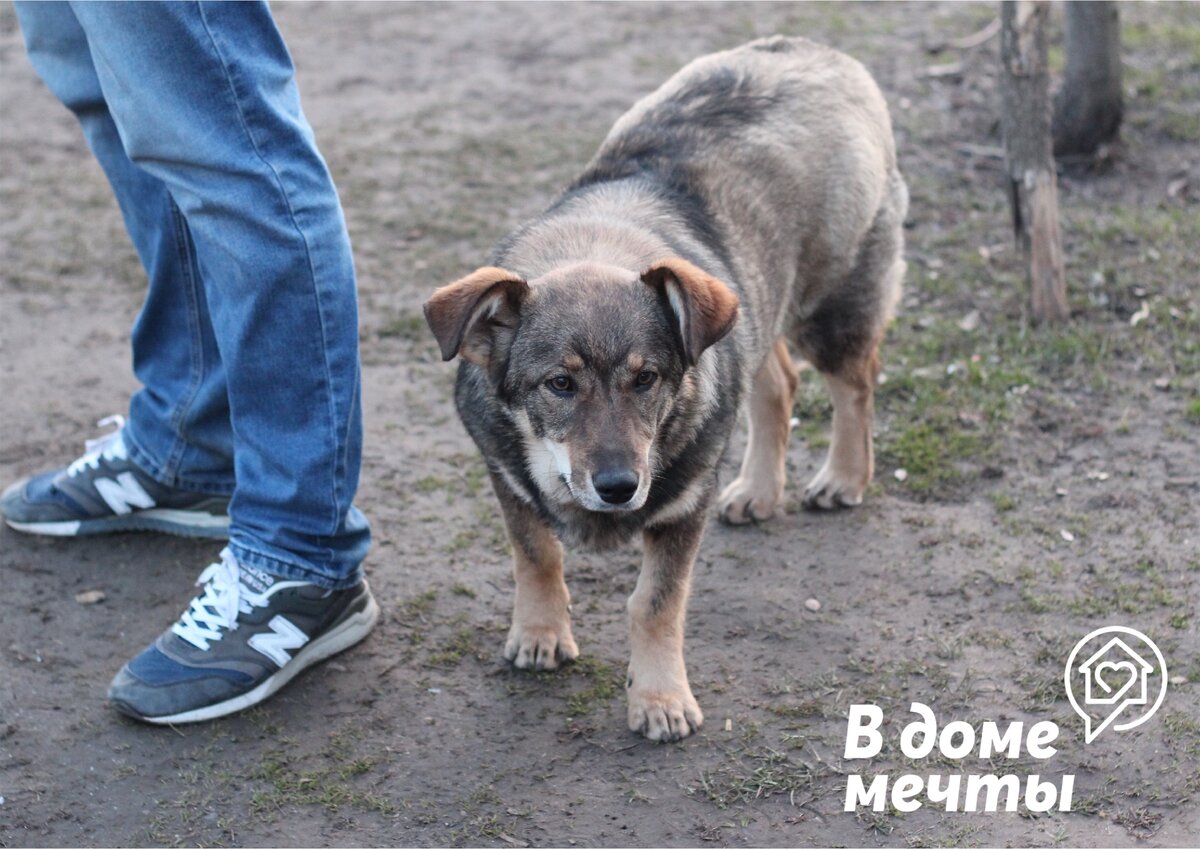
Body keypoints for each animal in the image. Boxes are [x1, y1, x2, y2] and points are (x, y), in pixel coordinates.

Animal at [427, 38, 902, 743]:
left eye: (645, 378)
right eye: (559, 384)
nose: (620, 487)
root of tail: (820, 50)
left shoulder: (683, 508)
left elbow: (655, 603)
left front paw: (659, 699)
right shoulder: (506, 476)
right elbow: (536, 555)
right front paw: (539, 633)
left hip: (833, 309)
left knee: (854, 385)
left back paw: (843, 476)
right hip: (748, 310)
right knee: (778, 383)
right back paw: (760, 490)